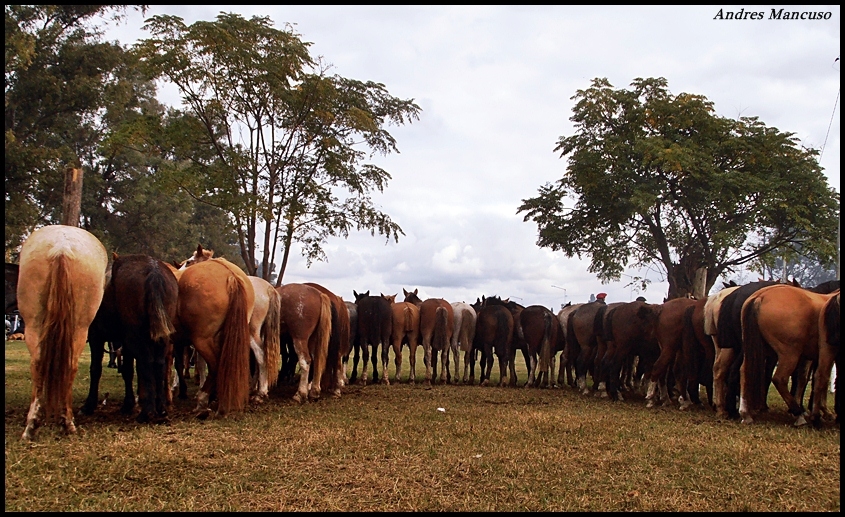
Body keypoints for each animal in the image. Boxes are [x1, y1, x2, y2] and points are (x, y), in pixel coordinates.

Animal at [740, 284, 836, 426]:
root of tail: (760, 296)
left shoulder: (808, 357)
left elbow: (804, 378)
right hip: (789, 354)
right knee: (780, 379)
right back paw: (798, 415)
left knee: (744, 371)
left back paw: (745, 413)